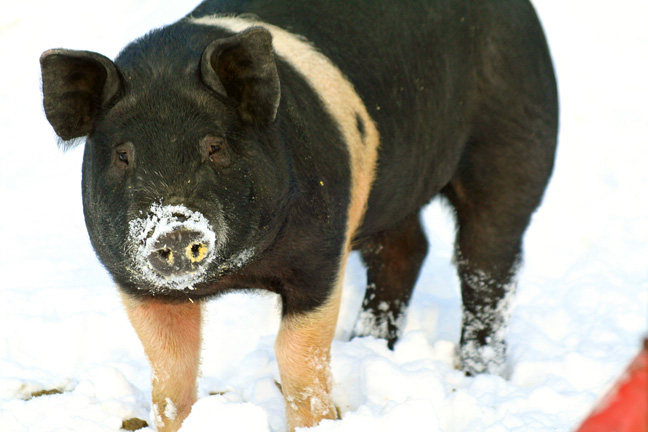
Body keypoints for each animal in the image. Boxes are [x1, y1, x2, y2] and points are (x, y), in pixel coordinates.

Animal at [40, 1, 556, 430]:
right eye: (123, 154)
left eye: (215, 146)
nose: (175, 225)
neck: (240, 274)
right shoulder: (136, 283)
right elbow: (171, 372)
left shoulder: (320, 256)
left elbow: (296, 358)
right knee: (407, 250)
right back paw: (363, 344)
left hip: (515, 146)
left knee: (488, 264)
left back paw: (476, 373)